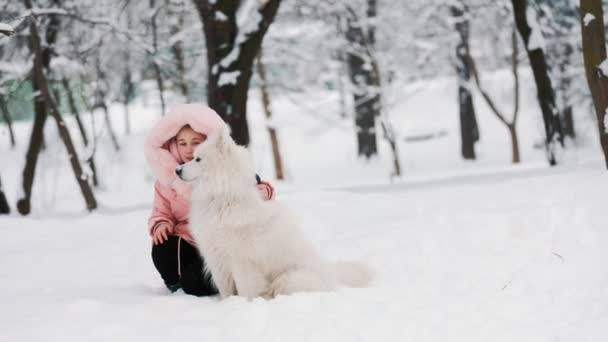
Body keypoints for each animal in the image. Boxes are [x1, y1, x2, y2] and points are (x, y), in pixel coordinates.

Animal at [176, 125, 372, 300]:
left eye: (198, 159)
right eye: (192, 157)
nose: (177, 170)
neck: (223, 198)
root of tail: (329, 273)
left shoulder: (243, 262)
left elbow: (246, 291)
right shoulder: (217, 259)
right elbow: (226, 291)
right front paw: (227, 304)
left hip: (287, 280)